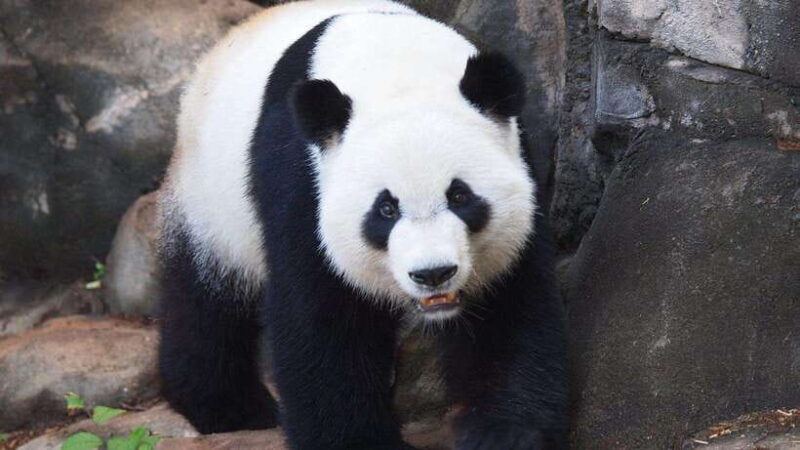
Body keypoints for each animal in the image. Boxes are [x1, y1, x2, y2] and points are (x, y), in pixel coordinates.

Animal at [156, 0, 568, 449]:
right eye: (385, 209)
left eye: (459, 196)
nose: (433, 273)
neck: (397, 69)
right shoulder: (303, 178)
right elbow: (323, 316)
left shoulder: (518, 163)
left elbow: (508, 307)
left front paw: (503, 433)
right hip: (211, 198)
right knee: (206, 296)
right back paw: (229, 405)